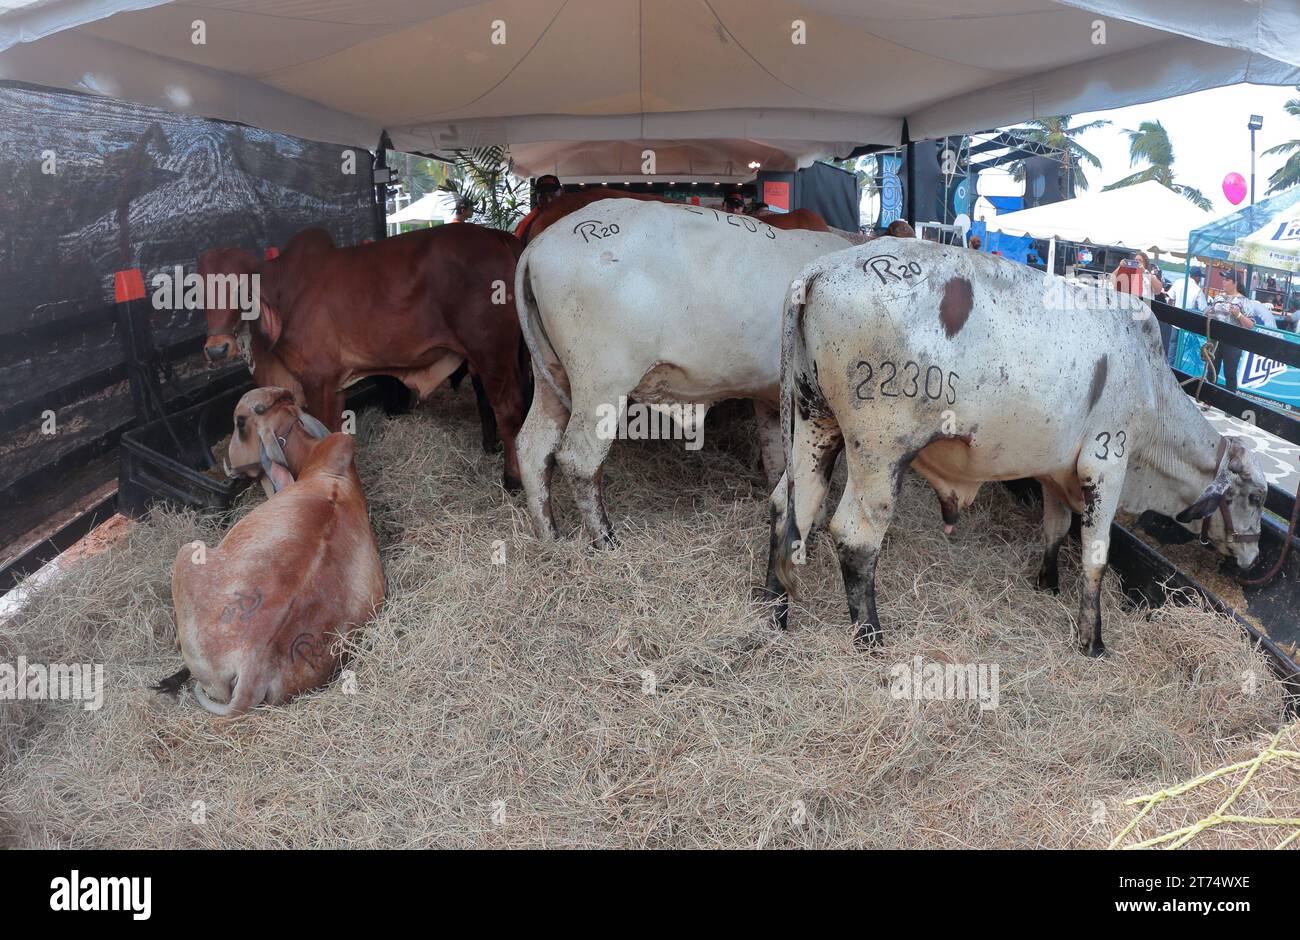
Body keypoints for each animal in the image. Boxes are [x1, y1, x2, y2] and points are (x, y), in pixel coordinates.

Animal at [202, 227, 527, 488]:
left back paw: (512, 479)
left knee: (510, 412)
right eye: (198, 291)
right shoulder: (334, 385)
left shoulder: (318, 380)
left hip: (491, 353)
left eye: (242, 287)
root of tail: (498, 236)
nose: (217, 349)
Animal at [512, 200, 857, 551]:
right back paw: (606, 540)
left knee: (532, 448)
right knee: (579, 458)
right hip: (602, 383)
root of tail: (540, 244)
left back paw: (549, 536)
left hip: (553, 378)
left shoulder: (773, 398)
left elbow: (779, 457)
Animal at [764, 239, 1263, 657]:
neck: (1150, 384)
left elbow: (1055, 529)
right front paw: (1092, 641)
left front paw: (1048, 583)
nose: (1254, 558)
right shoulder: (1107, 461)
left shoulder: (1058, 473)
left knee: (789, 507)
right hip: (879, 450)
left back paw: (775, 614)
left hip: (813, 423)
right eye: (1257, 497)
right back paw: (870, 638)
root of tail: (819, 270)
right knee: (855, 535)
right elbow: (1096, 556)